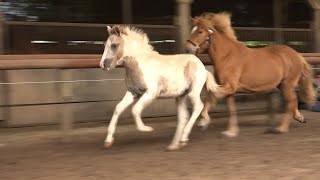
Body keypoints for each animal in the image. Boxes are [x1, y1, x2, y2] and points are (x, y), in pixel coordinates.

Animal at [185, 12, 316, 136]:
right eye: (192, 30)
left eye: (200, 31)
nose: (187, 49)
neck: (226, 56)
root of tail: (298, 55)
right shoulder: (229, 90)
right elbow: (231, 109)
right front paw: (231, 131)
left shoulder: (229, 86)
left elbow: (211, 96)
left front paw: (203, 121)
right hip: (281, 85)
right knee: (293, 100)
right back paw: (299, 118)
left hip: (288, 84)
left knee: (291, 101)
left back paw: (281, 128)